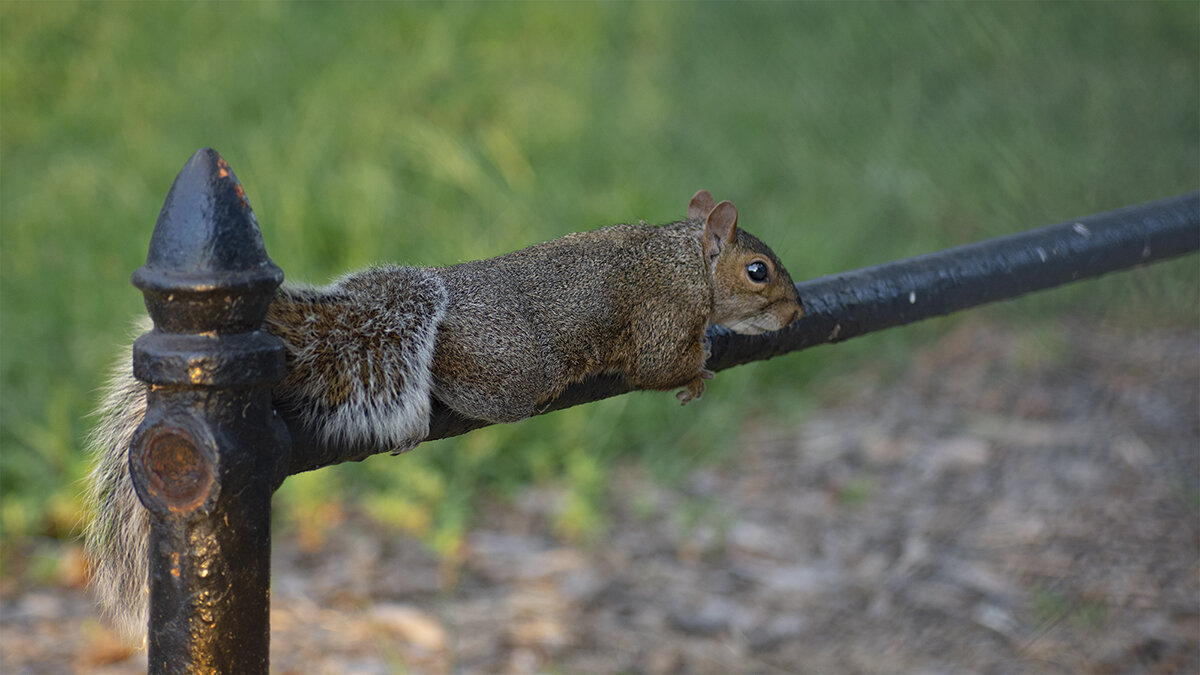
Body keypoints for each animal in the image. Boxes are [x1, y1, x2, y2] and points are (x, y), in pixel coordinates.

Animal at [79, 187, 801, 634]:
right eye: (759, 271)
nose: (796, 314)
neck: (686, 260)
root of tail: (440, 298)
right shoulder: (662, 317)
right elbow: (657, 365)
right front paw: (699, 369)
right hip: (513, 375)